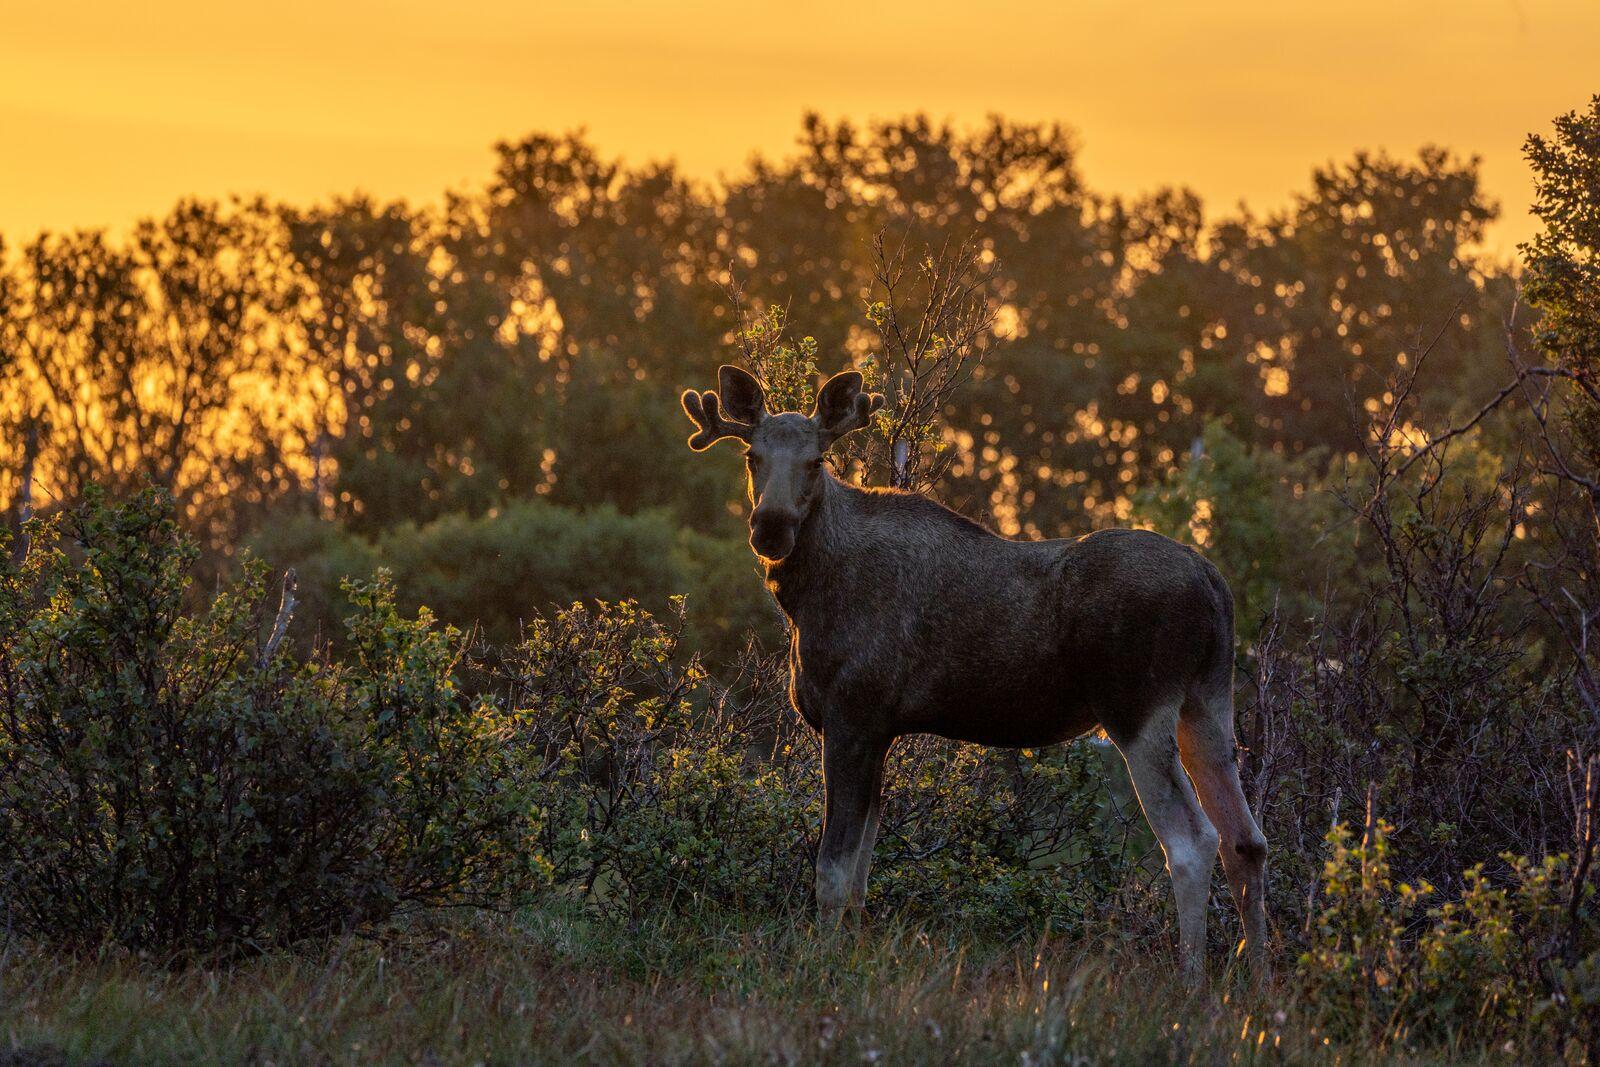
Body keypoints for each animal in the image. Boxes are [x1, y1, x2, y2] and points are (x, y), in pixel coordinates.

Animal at [681, 364, 1270, 983]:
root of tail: (1213, 583)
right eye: (752, 457)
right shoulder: (880, 729)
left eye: (817, 460)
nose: (769, 527)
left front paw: (822, 961)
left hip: (1137, 709)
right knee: (1246, 839)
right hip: (1207, 701)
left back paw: (1193, 979)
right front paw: (853, 953)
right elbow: (863, 870)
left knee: (1193, 841)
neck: (806, 597)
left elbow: (833, 868)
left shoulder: (853, 714)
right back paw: (1257, 975)